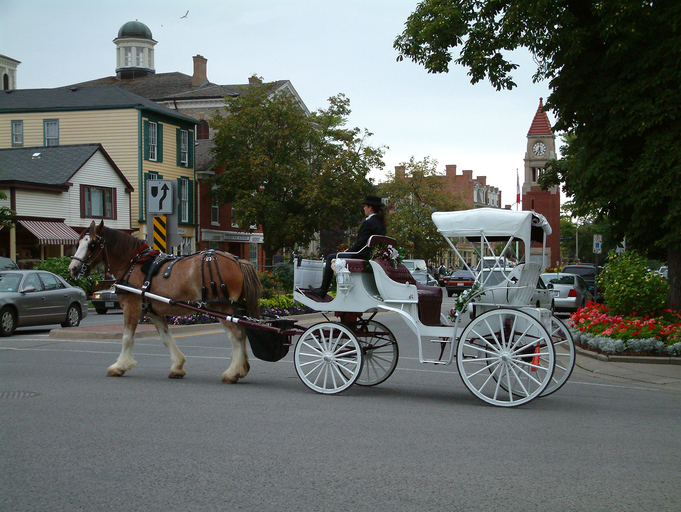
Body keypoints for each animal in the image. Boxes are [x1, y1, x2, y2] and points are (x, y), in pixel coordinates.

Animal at [69, 222, 260, 382]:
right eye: (78, 243)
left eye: (92, 244)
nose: (73, 268)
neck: (132, 264)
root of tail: (238, 261)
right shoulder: (154, 311)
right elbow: (165, 337)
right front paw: (177, 366)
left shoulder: (132, 306)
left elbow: (127, 337)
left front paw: (119, 366)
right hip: (231, 307)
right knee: (242, 332)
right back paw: (242, 367)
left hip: (221, 306)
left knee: (236, 334)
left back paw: (233, 372)